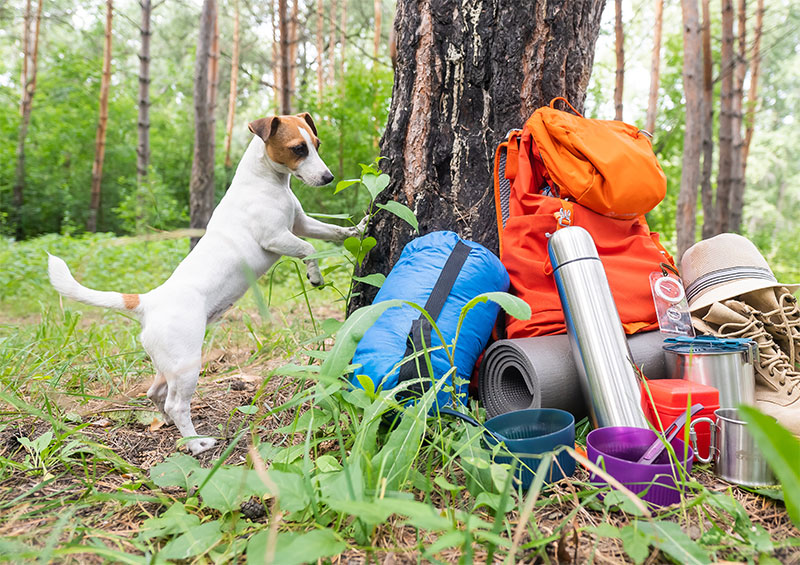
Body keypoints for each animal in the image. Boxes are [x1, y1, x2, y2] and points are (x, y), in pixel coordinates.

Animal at [47, 113, 366, 454]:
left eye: (317, 144)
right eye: (298, 149)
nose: (328, 177)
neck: (264, 181)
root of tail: (148, 301)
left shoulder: (301, 223)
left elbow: (333, 232)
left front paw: (359, 228)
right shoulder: (276, 238)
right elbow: (309, 249)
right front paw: (315, 275)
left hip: (168, 366)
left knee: (156, 395)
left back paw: (169, 425)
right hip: (188, 364)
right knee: (176, 404)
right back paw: (197, 444)